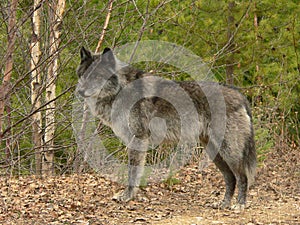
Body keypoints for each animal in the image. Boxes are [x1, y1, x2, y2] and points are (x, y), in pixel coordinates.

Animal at [76, 46, 256, 210]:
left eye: (97, 76)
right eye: (83, 75)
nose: (80, 91)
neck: (120, 89)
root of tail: (240, 96)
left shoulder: (138, 139)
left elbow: (132, 173)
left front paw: (127, 196)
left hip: (229, 152)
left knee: (242, 177)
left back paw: (239, 205)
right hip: (215, 153)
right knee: (230, 178)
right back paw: (223, 204)